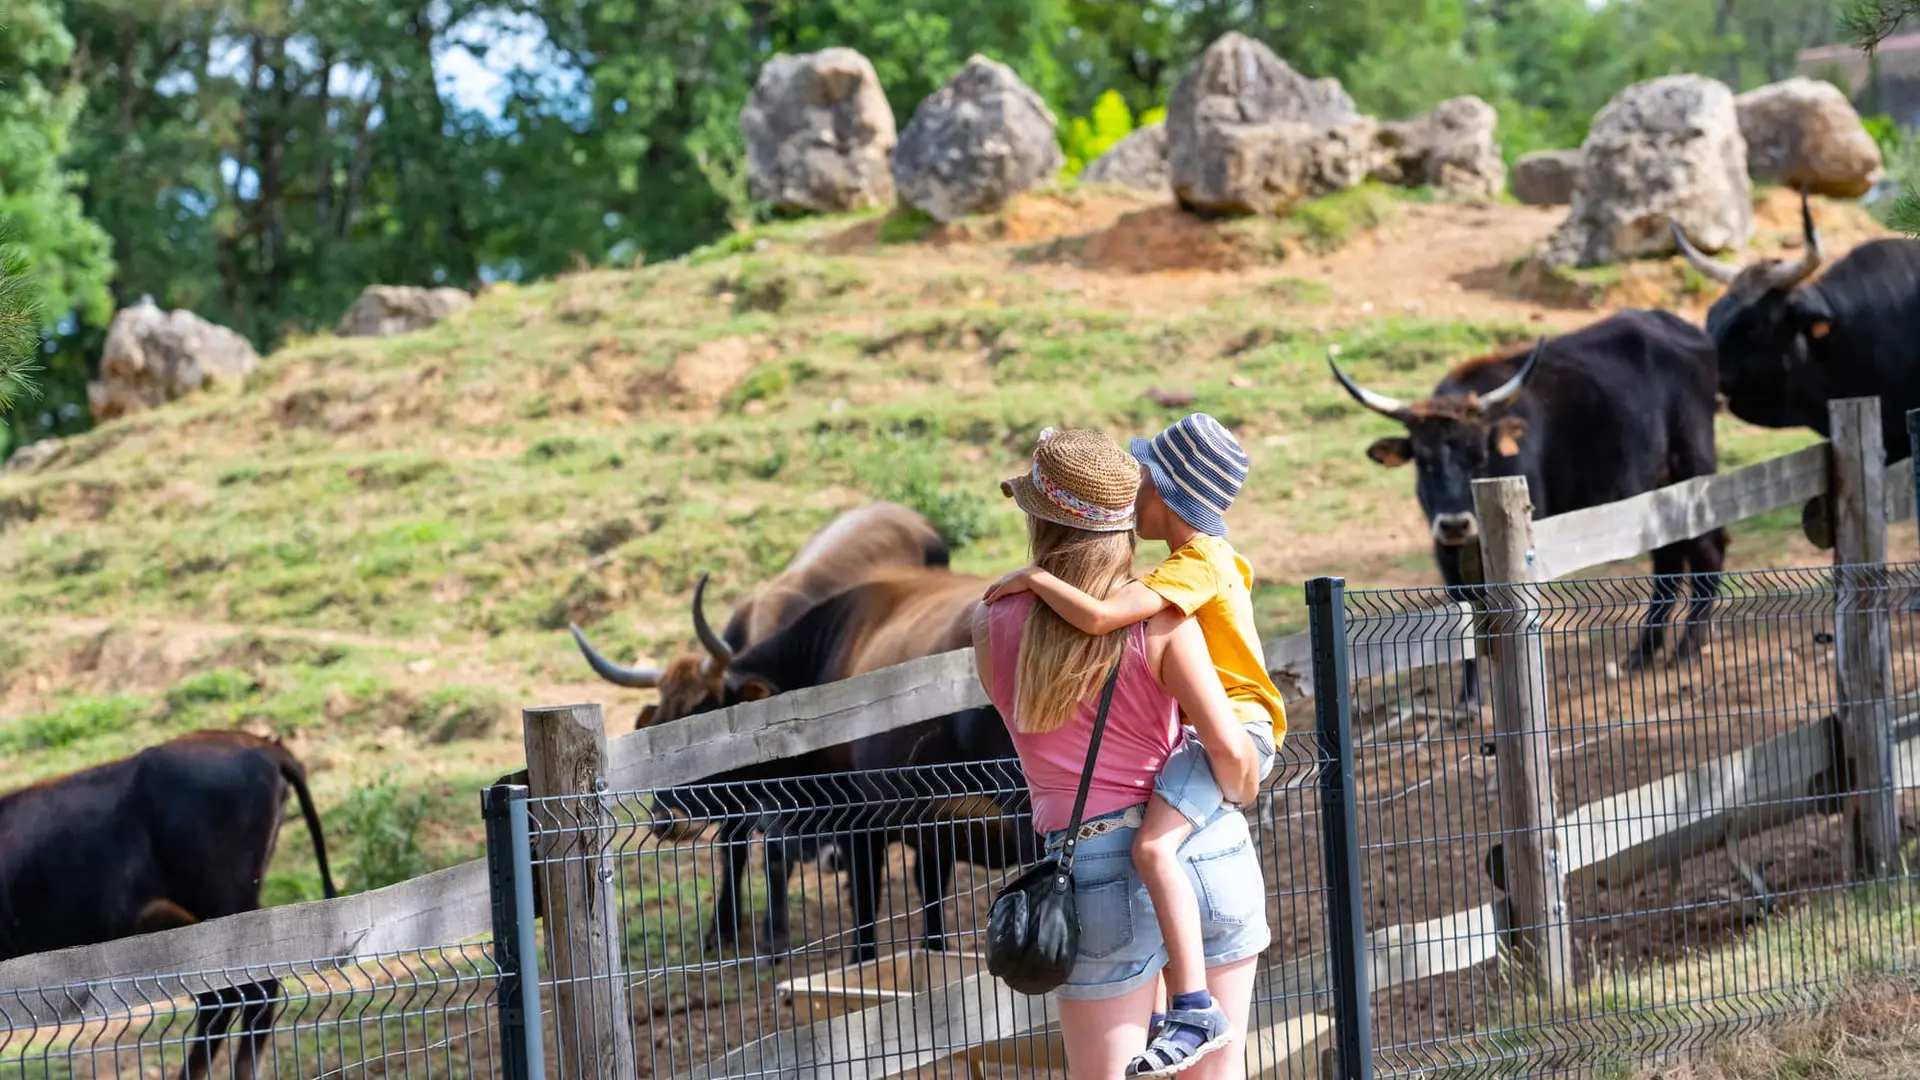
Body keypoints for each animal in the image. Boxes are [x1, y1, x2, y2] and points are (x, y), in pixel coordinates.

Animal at [568, 572, 1044, 957]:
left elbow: (865, 902)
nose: (667, 819)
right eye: (659, 725)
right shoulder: (930, 826)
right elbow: (929, 901)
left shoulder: (860, 818)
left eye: (705, 714)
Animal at [1336, 307, 1728, 707]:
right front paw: (1469, 698)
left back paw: (1689, 645)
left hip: (1693, 471)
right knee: (1669, 556)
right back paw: (1642, 653)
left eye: (1479, 458)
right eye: (1423, 461)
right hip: (1658, 491)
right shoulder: (1444, 553)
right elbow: (1465, 618)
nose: (1455, 524)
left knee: (1708, 548)